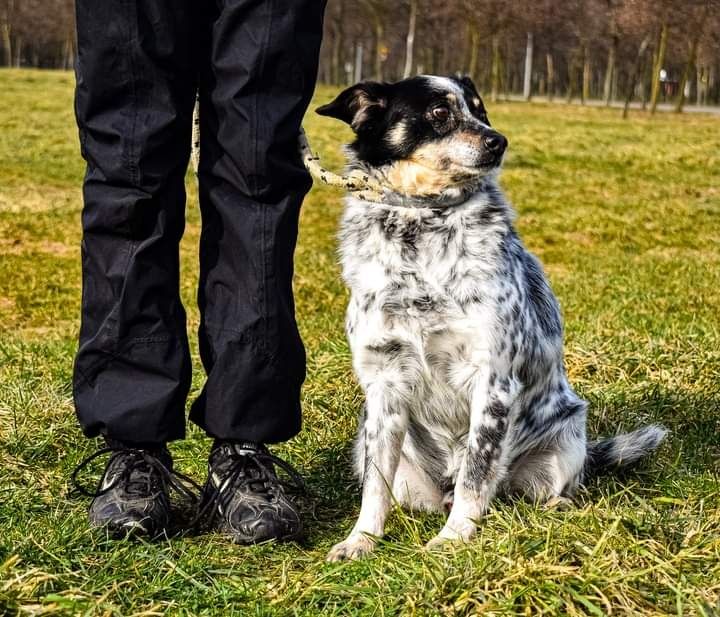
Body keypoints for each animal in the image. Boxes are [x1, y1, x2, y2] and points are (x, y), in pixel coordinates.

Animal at [318, 74, 668, 560]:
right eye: (439, 113)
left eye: (480, 110)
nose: (498, 140)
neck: (421, 225)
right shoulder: (383, 385)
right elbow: (375, 486)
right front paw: (361, 541)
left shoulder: (492, 380)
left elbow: (477, 470)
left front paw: (453, 538)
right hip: (377, 445)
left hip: (565, 441)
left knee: (525, 489)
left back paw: (555, 505)